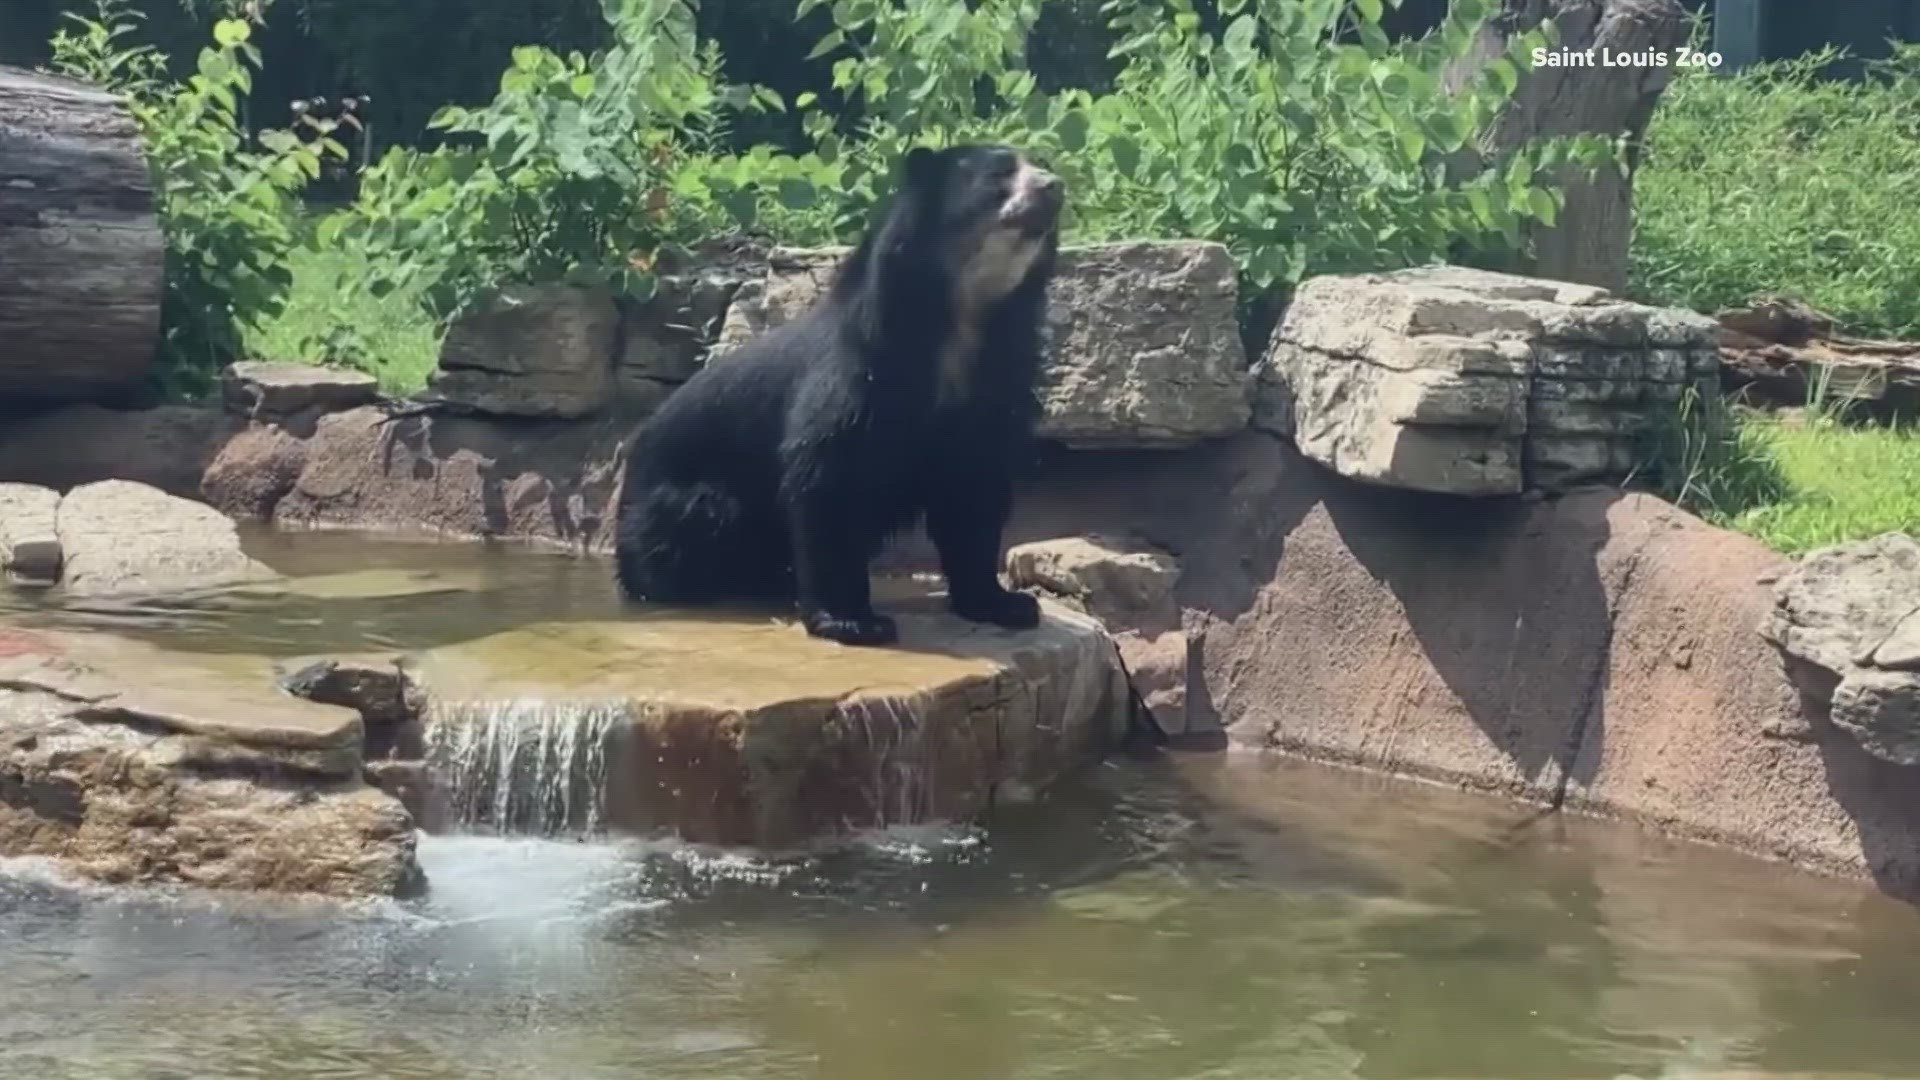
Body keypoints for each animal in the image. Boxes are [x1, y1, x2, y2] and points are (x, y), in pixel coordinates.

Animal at [614, 143, 1067, 645]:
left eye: (1041, 166)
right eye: (1000, 174)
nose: (1055, 186)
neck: (963, 319)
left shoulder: (991, 389)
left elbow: (975, 491)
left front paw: (1005, 604)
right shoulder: (858, 378)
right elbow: (831, 481)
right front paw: (855, 621)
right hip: (685, 498)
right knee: (694, 525)